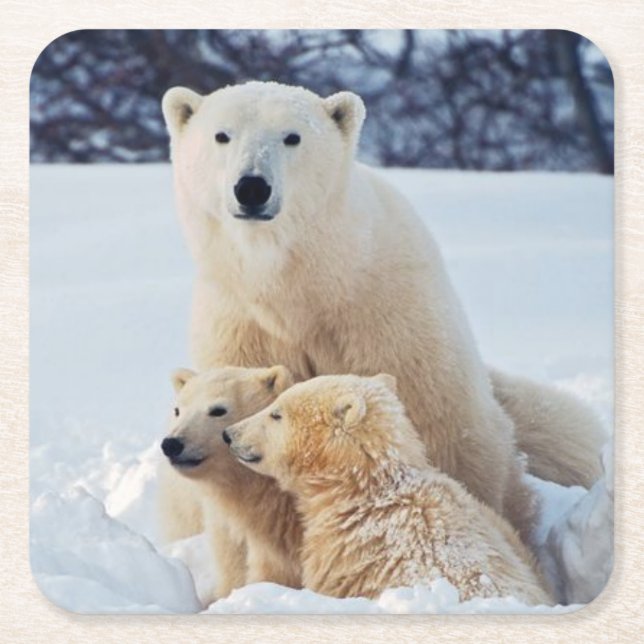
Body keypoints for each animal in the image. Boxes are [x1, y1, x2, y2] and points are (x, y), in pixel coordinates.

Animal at [161, 80, 605, 542]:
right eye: (222, 135)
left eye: (292, 137)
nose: (251, 187)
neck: (302, 285)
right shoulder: (241, 325)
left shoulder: (385, 314)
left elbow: (441, 425)